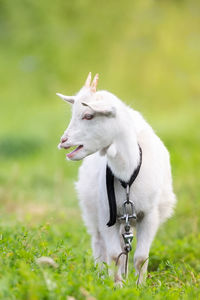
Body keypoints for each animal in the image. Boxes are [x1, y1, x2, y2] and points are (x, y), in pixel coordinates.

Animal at [57, 72, 176, 286]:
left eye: (88, 115)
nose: (63, 141)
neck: (127, 176)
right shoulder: (107, 214)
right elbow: (114, 255)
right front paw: (118, 286)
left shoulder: (150, 215)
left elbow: (140, 257)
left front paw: (139, 286)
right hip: (93, 212)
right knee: (99, 244)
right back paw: (101, 275)